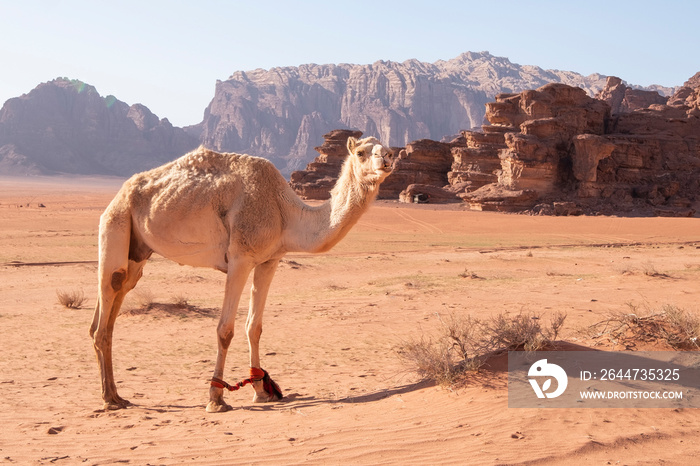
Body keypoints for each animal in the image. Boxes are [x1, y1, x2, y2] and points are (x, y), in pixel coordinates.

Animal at [89, 136, 394, 412]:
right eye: (361, 152)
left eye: (387, 147)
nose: (388, 157)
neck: (284, 214)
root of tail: (119, 194)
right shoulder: (240, 258)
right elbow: (225, 329)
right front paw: (216, 398)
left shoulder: (270, 260)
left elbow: (254, 327)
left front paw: (261, 390)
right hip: (116, 222)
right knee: (108, 300)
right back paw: (109, 400)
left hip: (138, 250)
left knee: (114, 304)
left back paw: (117, 395)